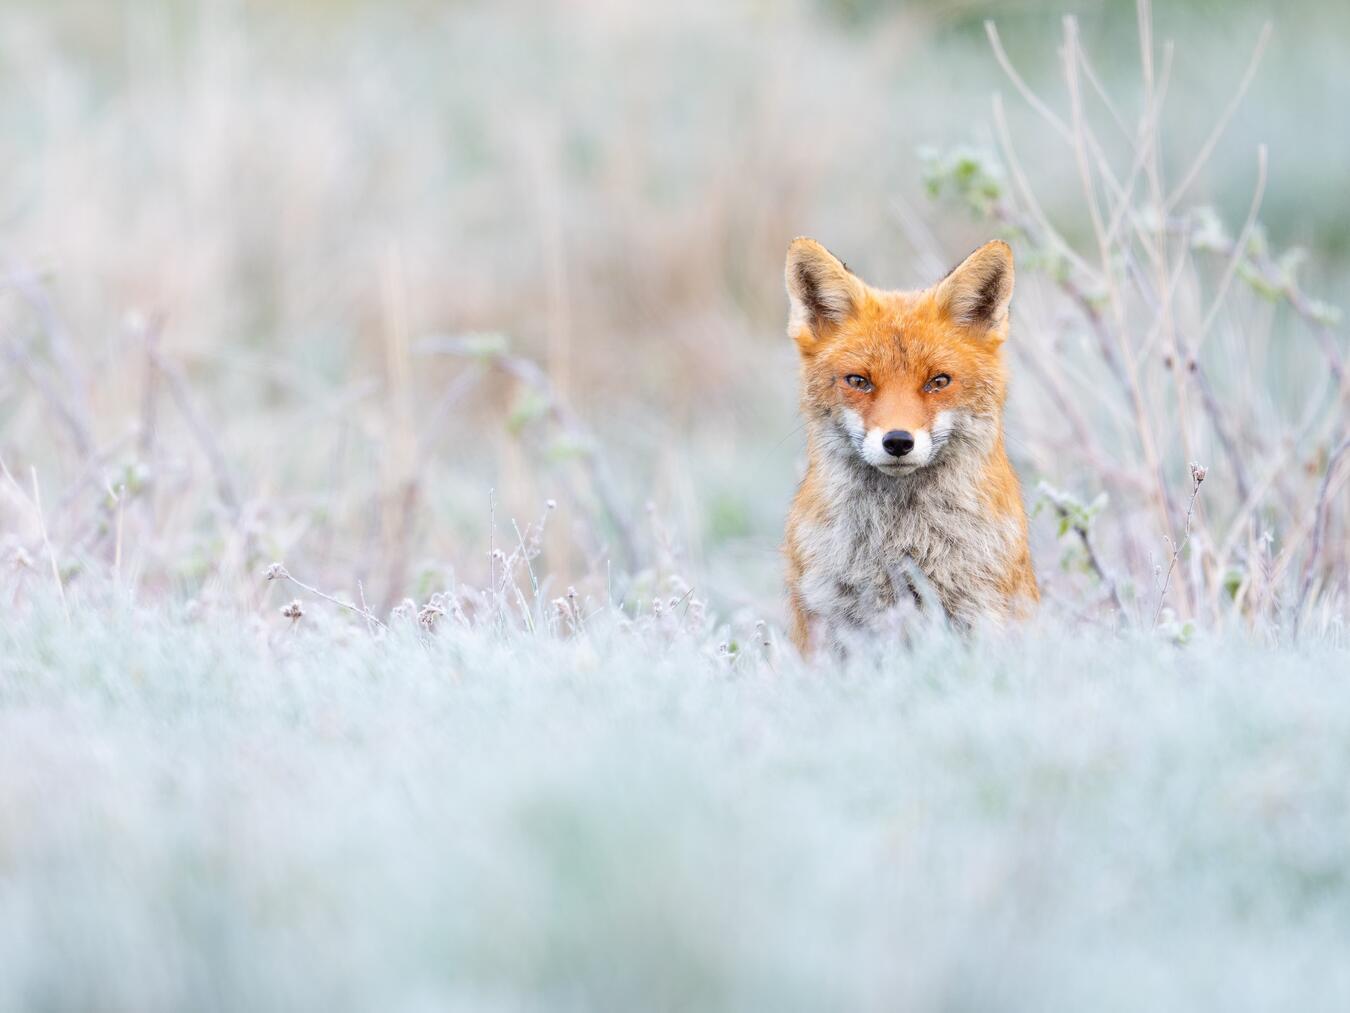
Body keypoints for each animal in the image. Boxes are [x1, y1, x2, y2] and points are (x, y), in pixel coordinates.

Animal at [783, 237, 1038, 654]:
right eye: (859, 381)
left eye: (938, 381)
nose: (898, 441)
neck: (903, 544)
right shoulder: (830, 624)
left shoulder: (980, 611)